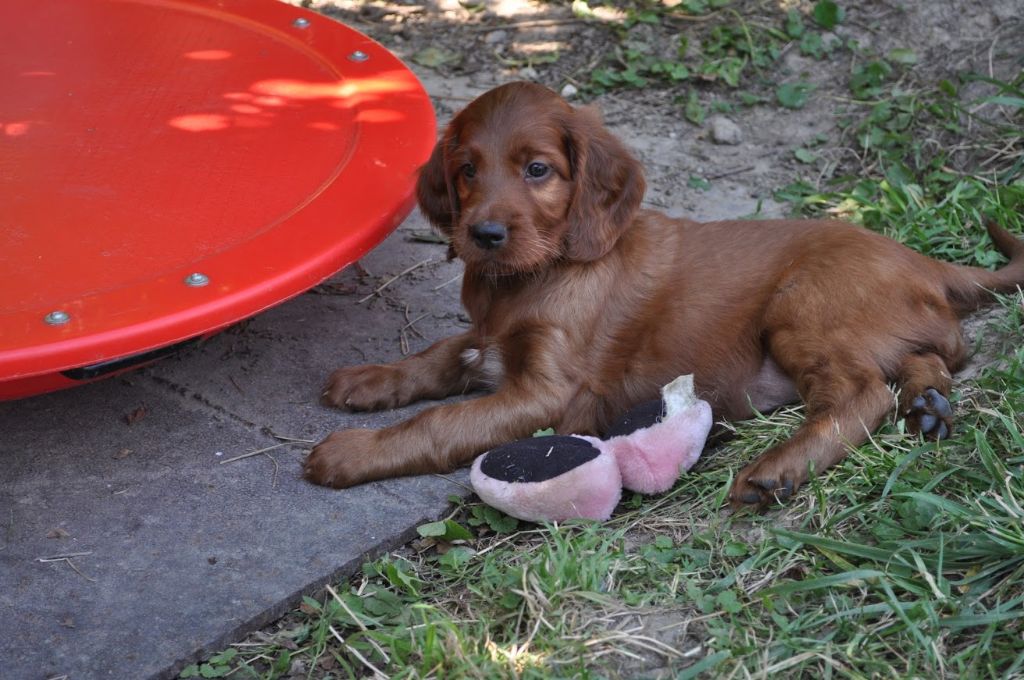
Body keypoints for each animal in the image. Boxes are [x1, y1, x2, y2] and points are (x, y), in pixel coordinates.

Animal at [305, 79, 1024, 507]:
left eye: (538, 169)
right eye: (465, 171)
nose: (482, 234)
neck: (540, 273)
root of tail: (919, 259)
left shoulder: (547, 392)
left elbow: (439, 420)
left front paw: (352, 451)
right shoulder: (487, 340)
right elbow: (435, 357)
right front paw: (367, 379)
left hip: (801, 307)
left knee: (861, 393)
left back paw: (777, 468)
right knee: (930, 357)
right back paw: (929, 408)